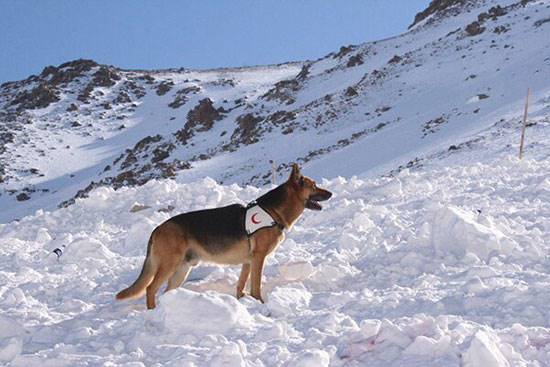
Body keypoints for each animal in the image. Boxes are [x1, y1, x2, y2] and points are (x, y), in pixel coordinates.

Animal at [115, 165, 332, 310]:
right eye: (314, 185)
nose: (330, 193)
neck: (273, 212)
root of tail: (157, 229)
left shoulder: (248, 261)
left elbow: (241, 284)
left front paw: (242, 300)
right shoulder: (258, 258)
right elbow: (256, 286)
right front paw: (260, 304)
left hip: (181, 269)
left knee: (166, 291)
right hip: (169, 265)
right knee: (150, 288)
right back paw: (152, 311)